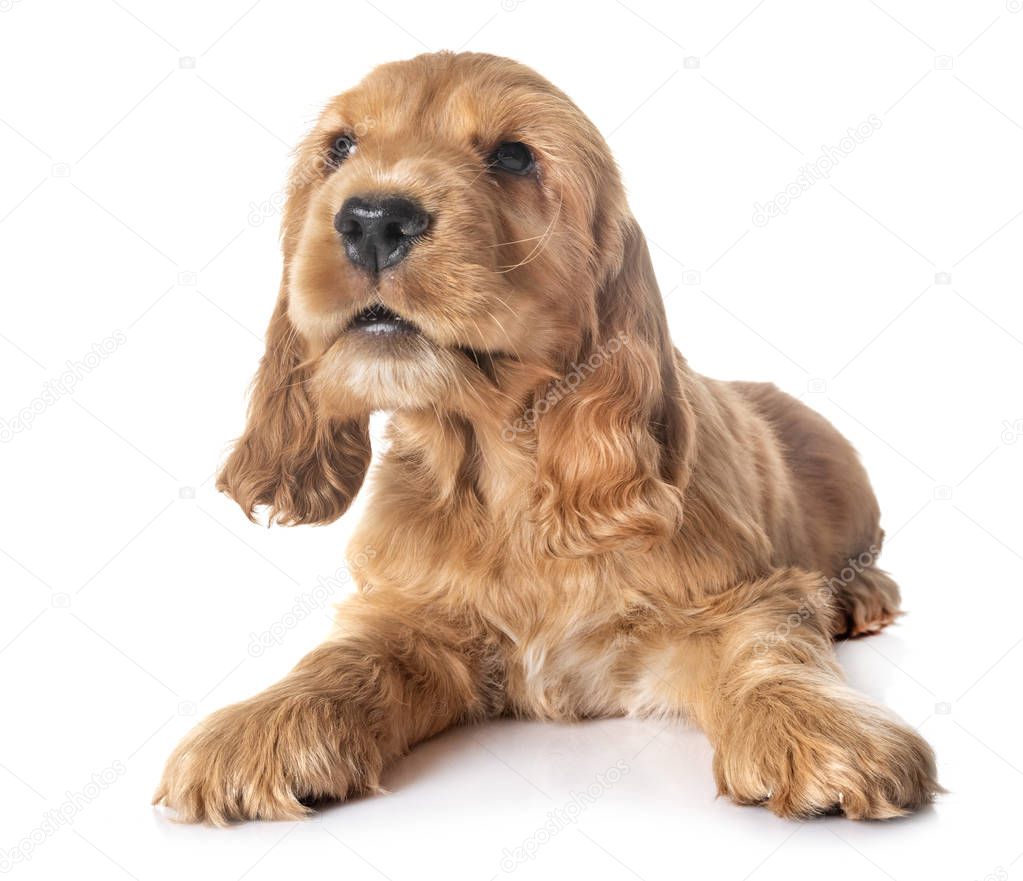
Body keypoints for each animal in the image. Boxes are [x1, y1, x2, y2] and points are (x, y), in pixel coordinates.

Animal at [153, 51, 941, 826]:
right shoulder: (407, 611)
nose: (372, 219)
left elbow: (769, 650)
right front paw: (261, 725)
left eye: (513, 156)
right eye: (340, 148)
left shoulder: (742, 593)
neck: (502, 473)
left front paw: (818, 730)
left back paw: (860, 594)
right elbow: (345, 658)